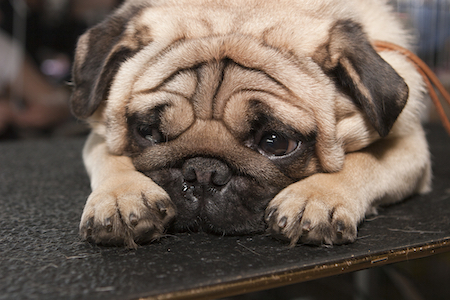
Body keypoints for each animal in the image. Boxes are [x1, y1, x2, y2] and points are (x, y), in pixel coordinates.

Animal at [71, 0, 432, 248]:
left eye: (275, 142)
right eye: (148, 132)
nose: (203, 171)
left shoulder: (410, 148)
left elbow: (365, 161)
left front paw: (318, 196)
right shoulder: (98, 135)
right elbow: (111, 157)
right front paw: (122, 196)